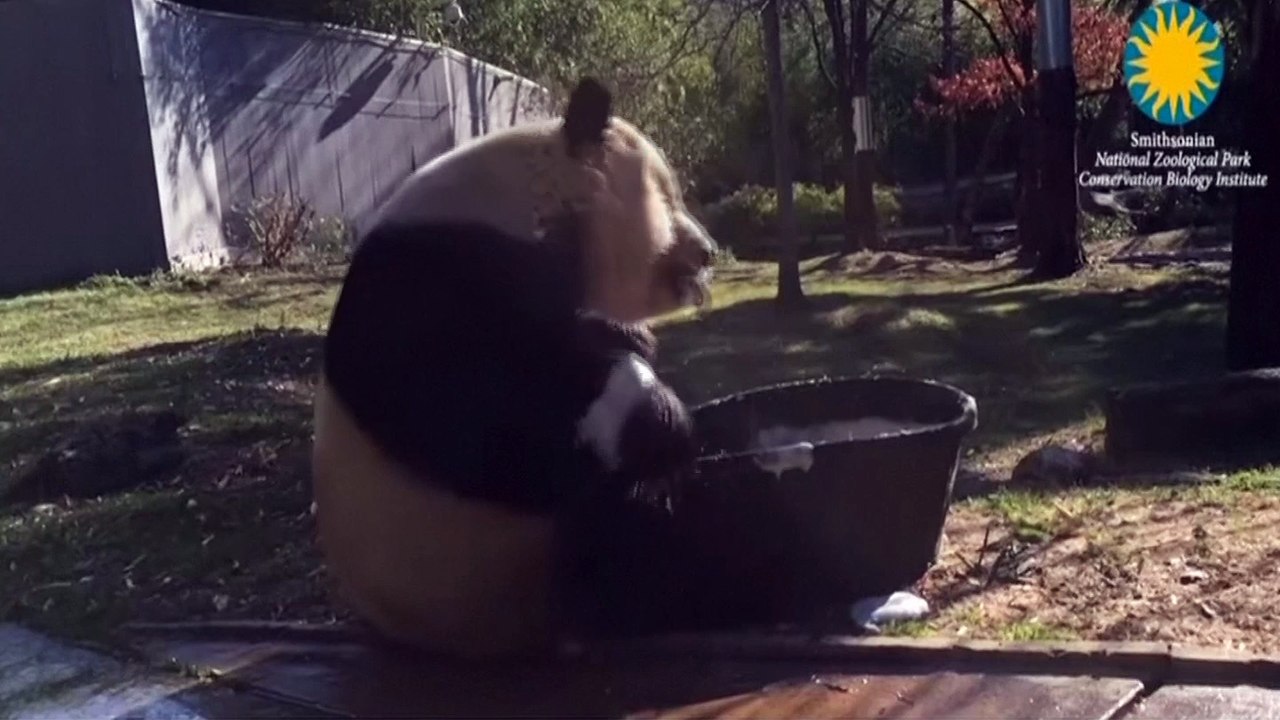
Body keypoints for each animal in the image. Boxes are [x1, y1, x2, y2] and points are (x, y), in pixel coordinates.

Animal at [310, 77, 719, 659]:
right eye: (669, 194)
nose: (708, 251)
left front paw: (629, 341)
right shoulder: (434, 273)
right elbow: (471, 417)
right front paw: (656, 415)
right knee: (622, 522)